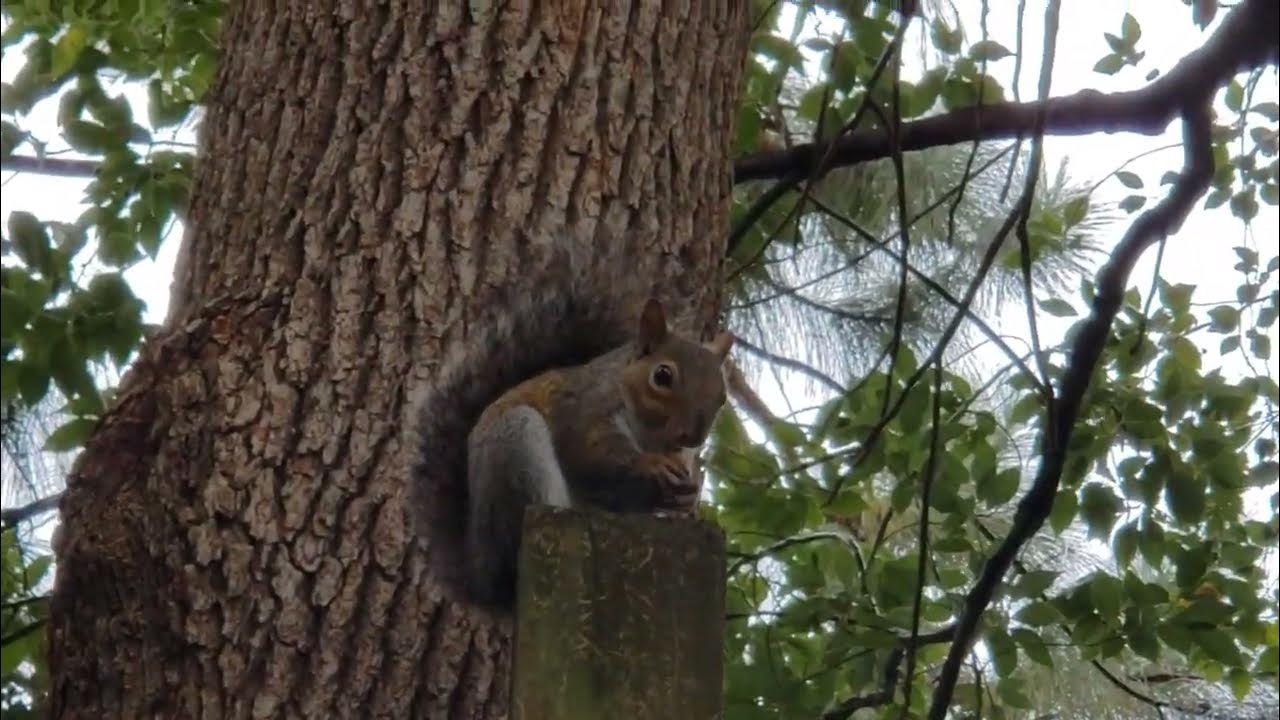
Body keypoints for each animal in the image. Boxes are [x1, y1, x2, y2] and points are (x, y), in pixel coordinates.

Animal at [410, 289, 734, 609]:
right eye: (662, 376)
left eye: (722, 396)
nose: (693, 436)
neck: (649, 437)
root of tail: (479, 577)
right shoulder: (583, 411)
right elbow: (591, 456)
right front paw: (653, 467)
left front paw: (684, 496)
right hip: (516, 448)